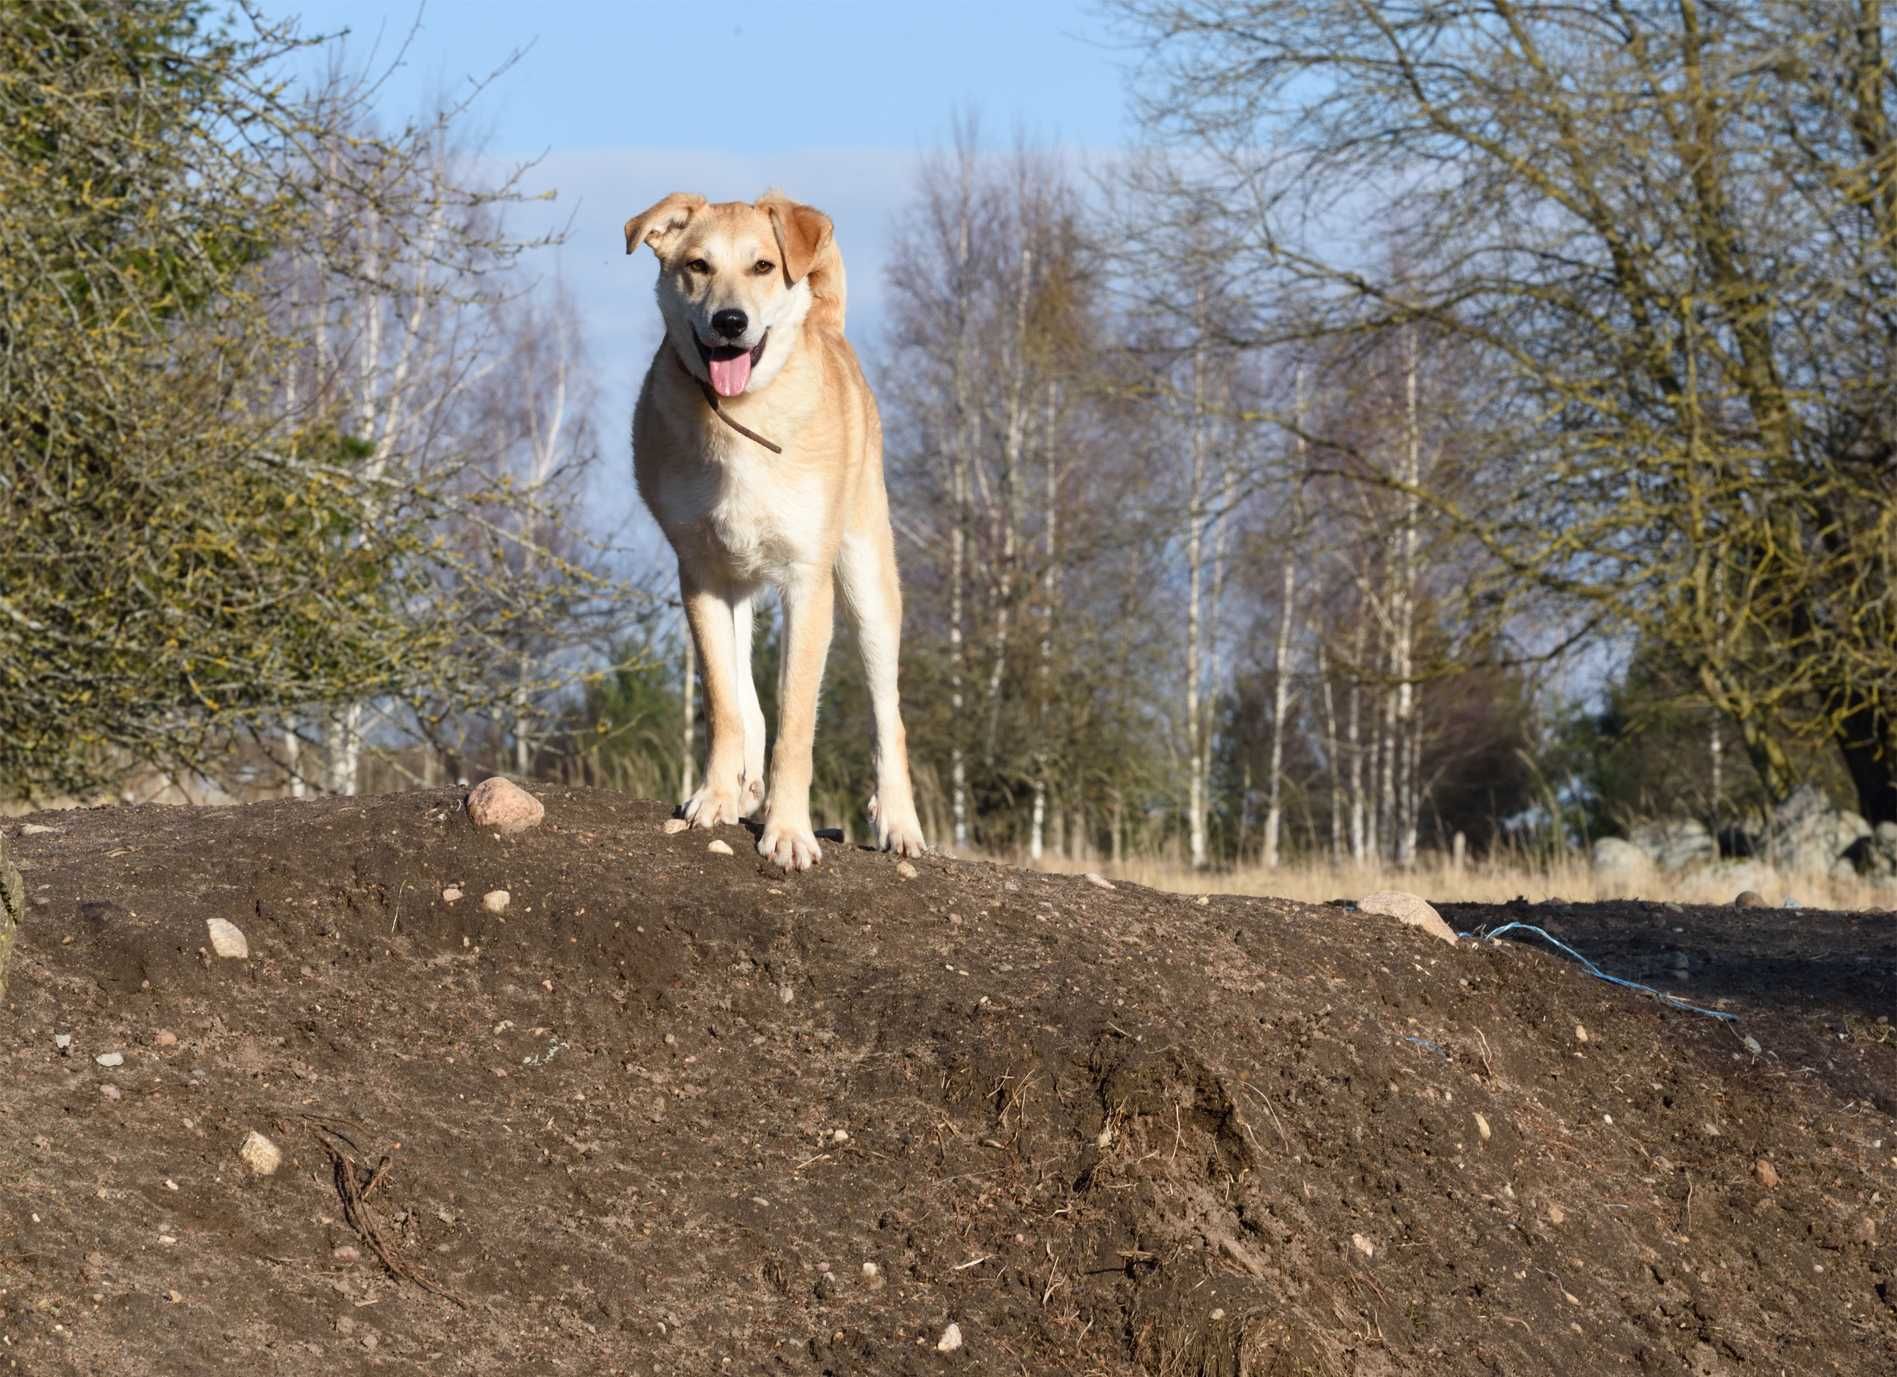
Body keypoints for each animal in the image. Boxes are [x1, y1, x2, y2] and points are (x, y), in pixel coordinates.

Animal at [629, 191, 925, 872]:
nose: (730, 322)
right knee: (744, 692)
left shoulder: (807, 585)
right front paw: (715, 796)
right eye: (698, 265)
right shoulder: (701, 576)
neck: (741, 418)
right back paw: (741, 786)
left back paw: (899, 822)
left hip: (867, 581)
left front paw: (788, 831)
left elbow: (796, 721)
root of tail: (831, 328)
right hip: (737, 584)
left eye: (763, 265)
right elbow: (726, 702)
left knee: (888, 713)